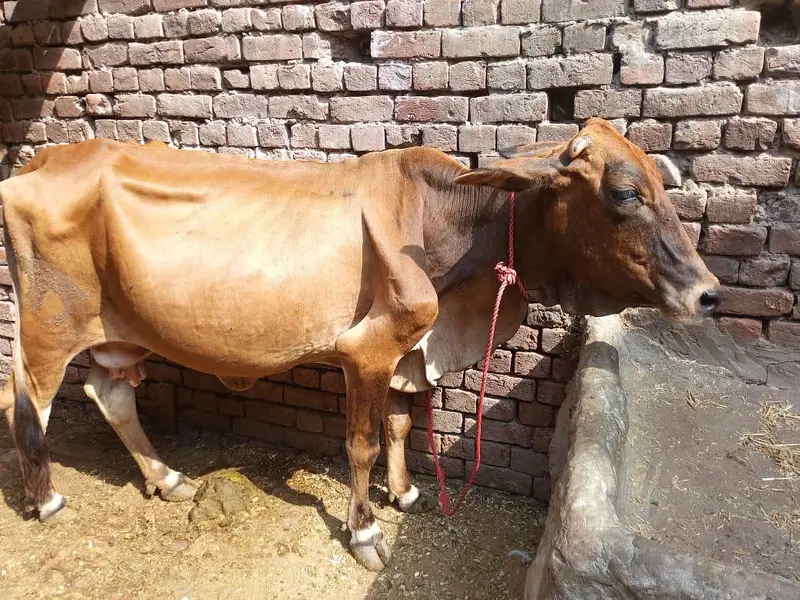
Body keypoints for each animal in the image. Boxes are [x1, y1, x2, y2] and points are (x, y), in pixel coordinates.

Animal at [0, 118, 719, 571]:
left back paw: (166, 477)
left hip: (123, 331)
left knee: (110, 392)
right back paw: (46, 499)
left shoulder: (407, 356)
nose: (708, 294)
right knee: (26, 405)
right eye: (624, 193)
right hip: (45, 326)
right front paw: (366, 529)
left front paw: (405, 494)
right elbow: (363, 443)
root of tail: (35, 163)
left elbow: (401, 426)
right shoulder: (365, 352)